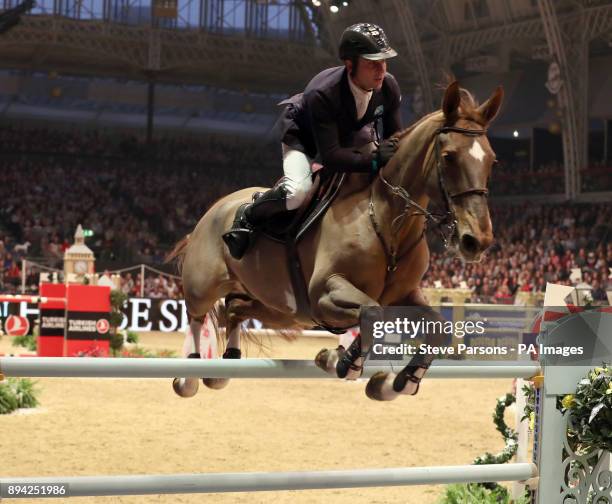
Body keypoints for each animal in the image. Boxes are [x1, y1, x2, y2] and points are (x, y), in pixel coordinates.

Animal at [167, 81, 502, 402]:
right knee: (197, 315)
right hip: (203, 286)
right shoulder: (324, 293)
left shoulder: (403, 295)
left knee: (235, 309)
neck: (386, 220)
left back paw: (226, 367)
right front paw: (338, 360)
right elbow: (371, 313)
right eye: (449, 157)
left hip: (278, 308)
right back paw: (190, 376)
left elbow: (438, 329)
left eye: (492, 161)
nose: (477, 241)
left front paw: (397, 383)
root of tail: (213, 210)